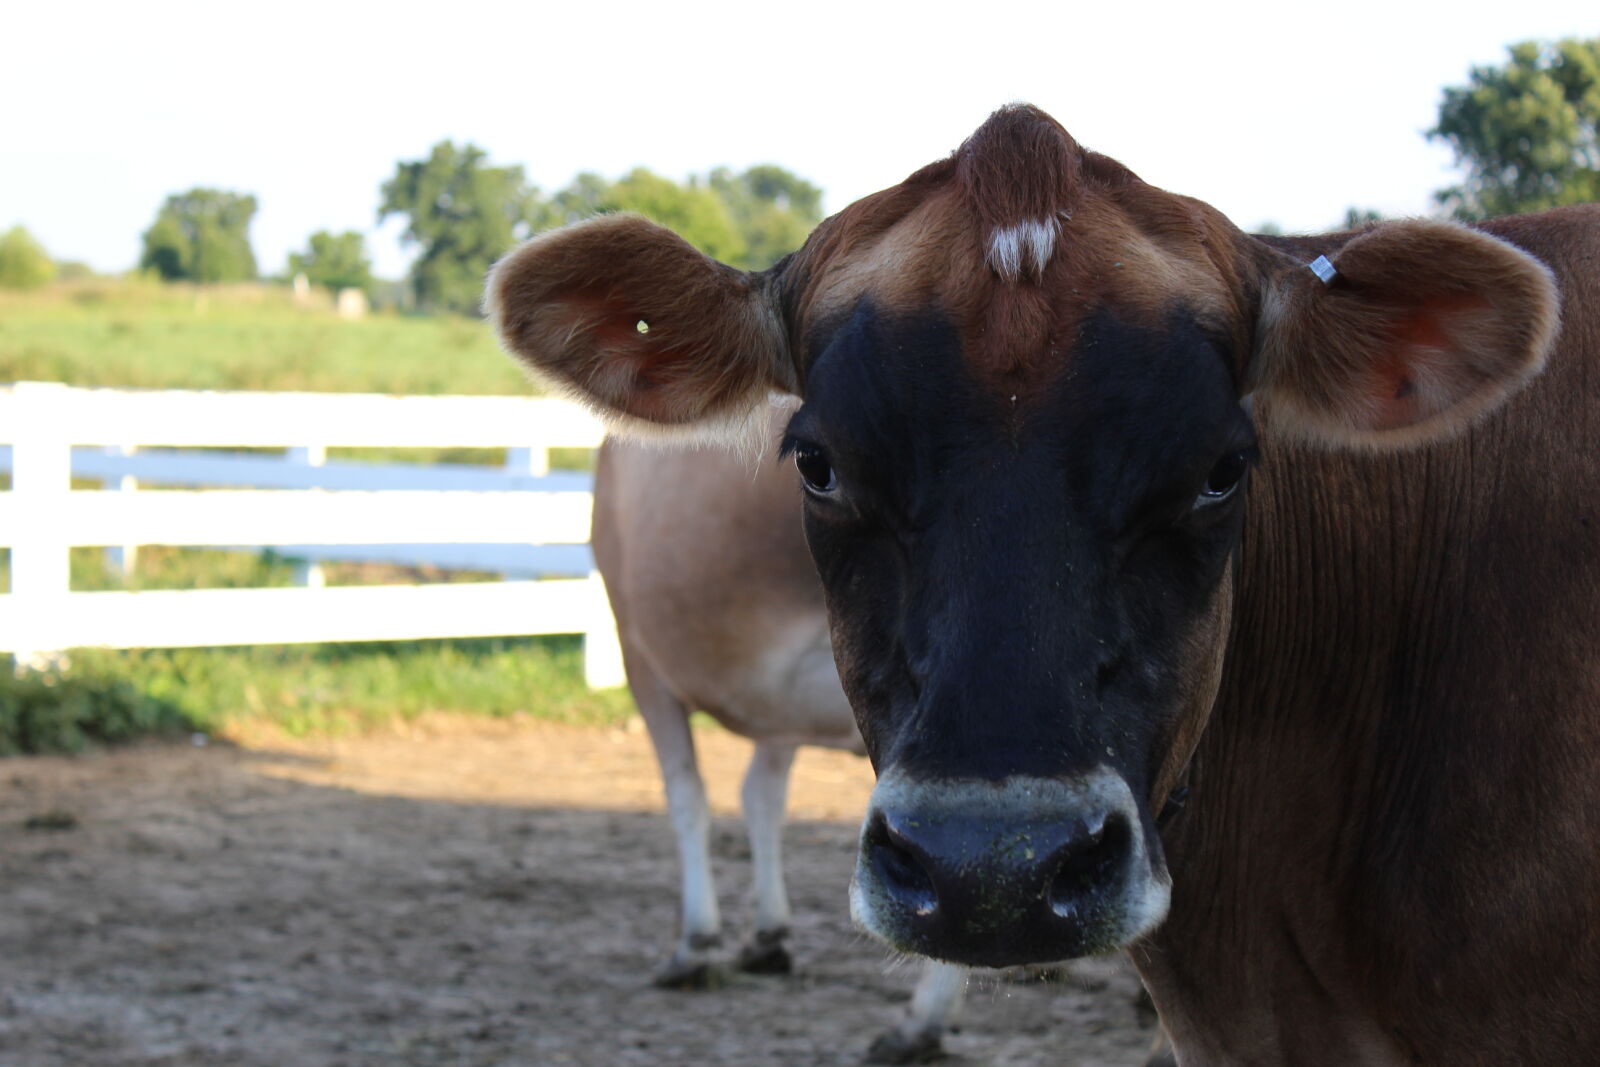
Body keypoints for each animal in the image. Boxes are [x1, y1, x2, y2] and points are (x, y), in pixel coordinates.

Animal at [592, 412, 969, 1063]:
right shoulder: (781, 696)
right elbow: (759, 795)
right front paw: (765, 933)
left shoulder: (637, 648)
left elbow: (686, 795)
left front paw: (696, 941)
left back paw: (919, 1022)